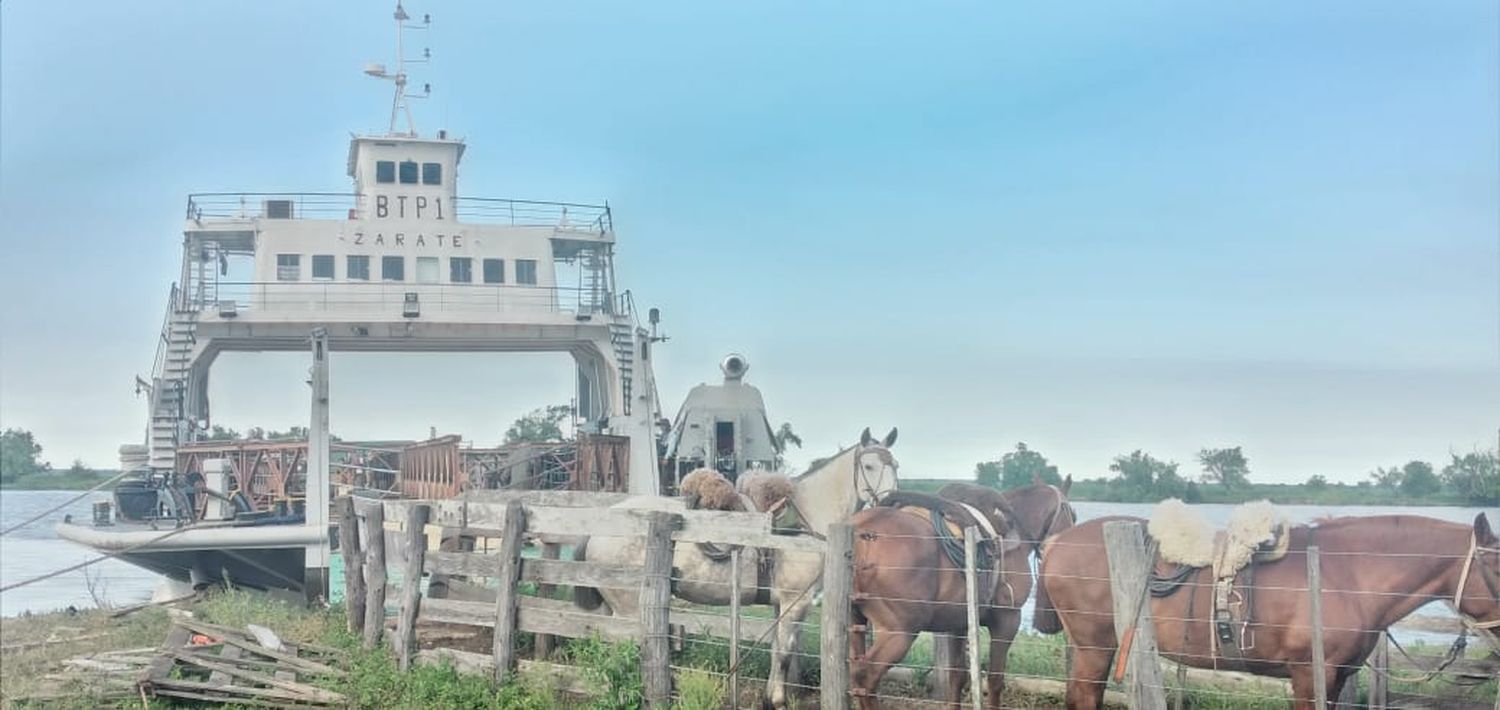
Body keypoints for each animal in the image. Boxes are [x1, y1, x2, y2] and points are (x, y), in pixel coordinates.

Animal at [573, 423, 900, 705]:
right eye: (870, 466)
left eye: (895, 465)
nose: (893, 502)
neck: (802, 525)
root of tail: (601, 524)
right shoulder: (796, 601)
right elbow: (785, 652)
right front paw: (777, 700)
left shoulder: (782, 604)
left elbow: (776, 649)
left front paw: (770, 697)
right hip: (627, 609)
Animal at [846, 477, 1080, 705]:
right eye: (1074, 515)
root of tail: (863, 533)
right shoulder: (1007, 620)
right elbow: (995, 680)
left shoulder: (958, 625)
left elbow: (957, 677)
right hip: (900, 632)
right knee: (866, 676)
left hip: (856, 623)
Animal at [1038, 513, 1500, 705]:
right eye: (1495, 565)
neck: (1344, 572)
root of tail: (1058, 540)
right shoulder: (1310, 674)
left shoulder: (1336, 678)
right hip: (1095, 650)